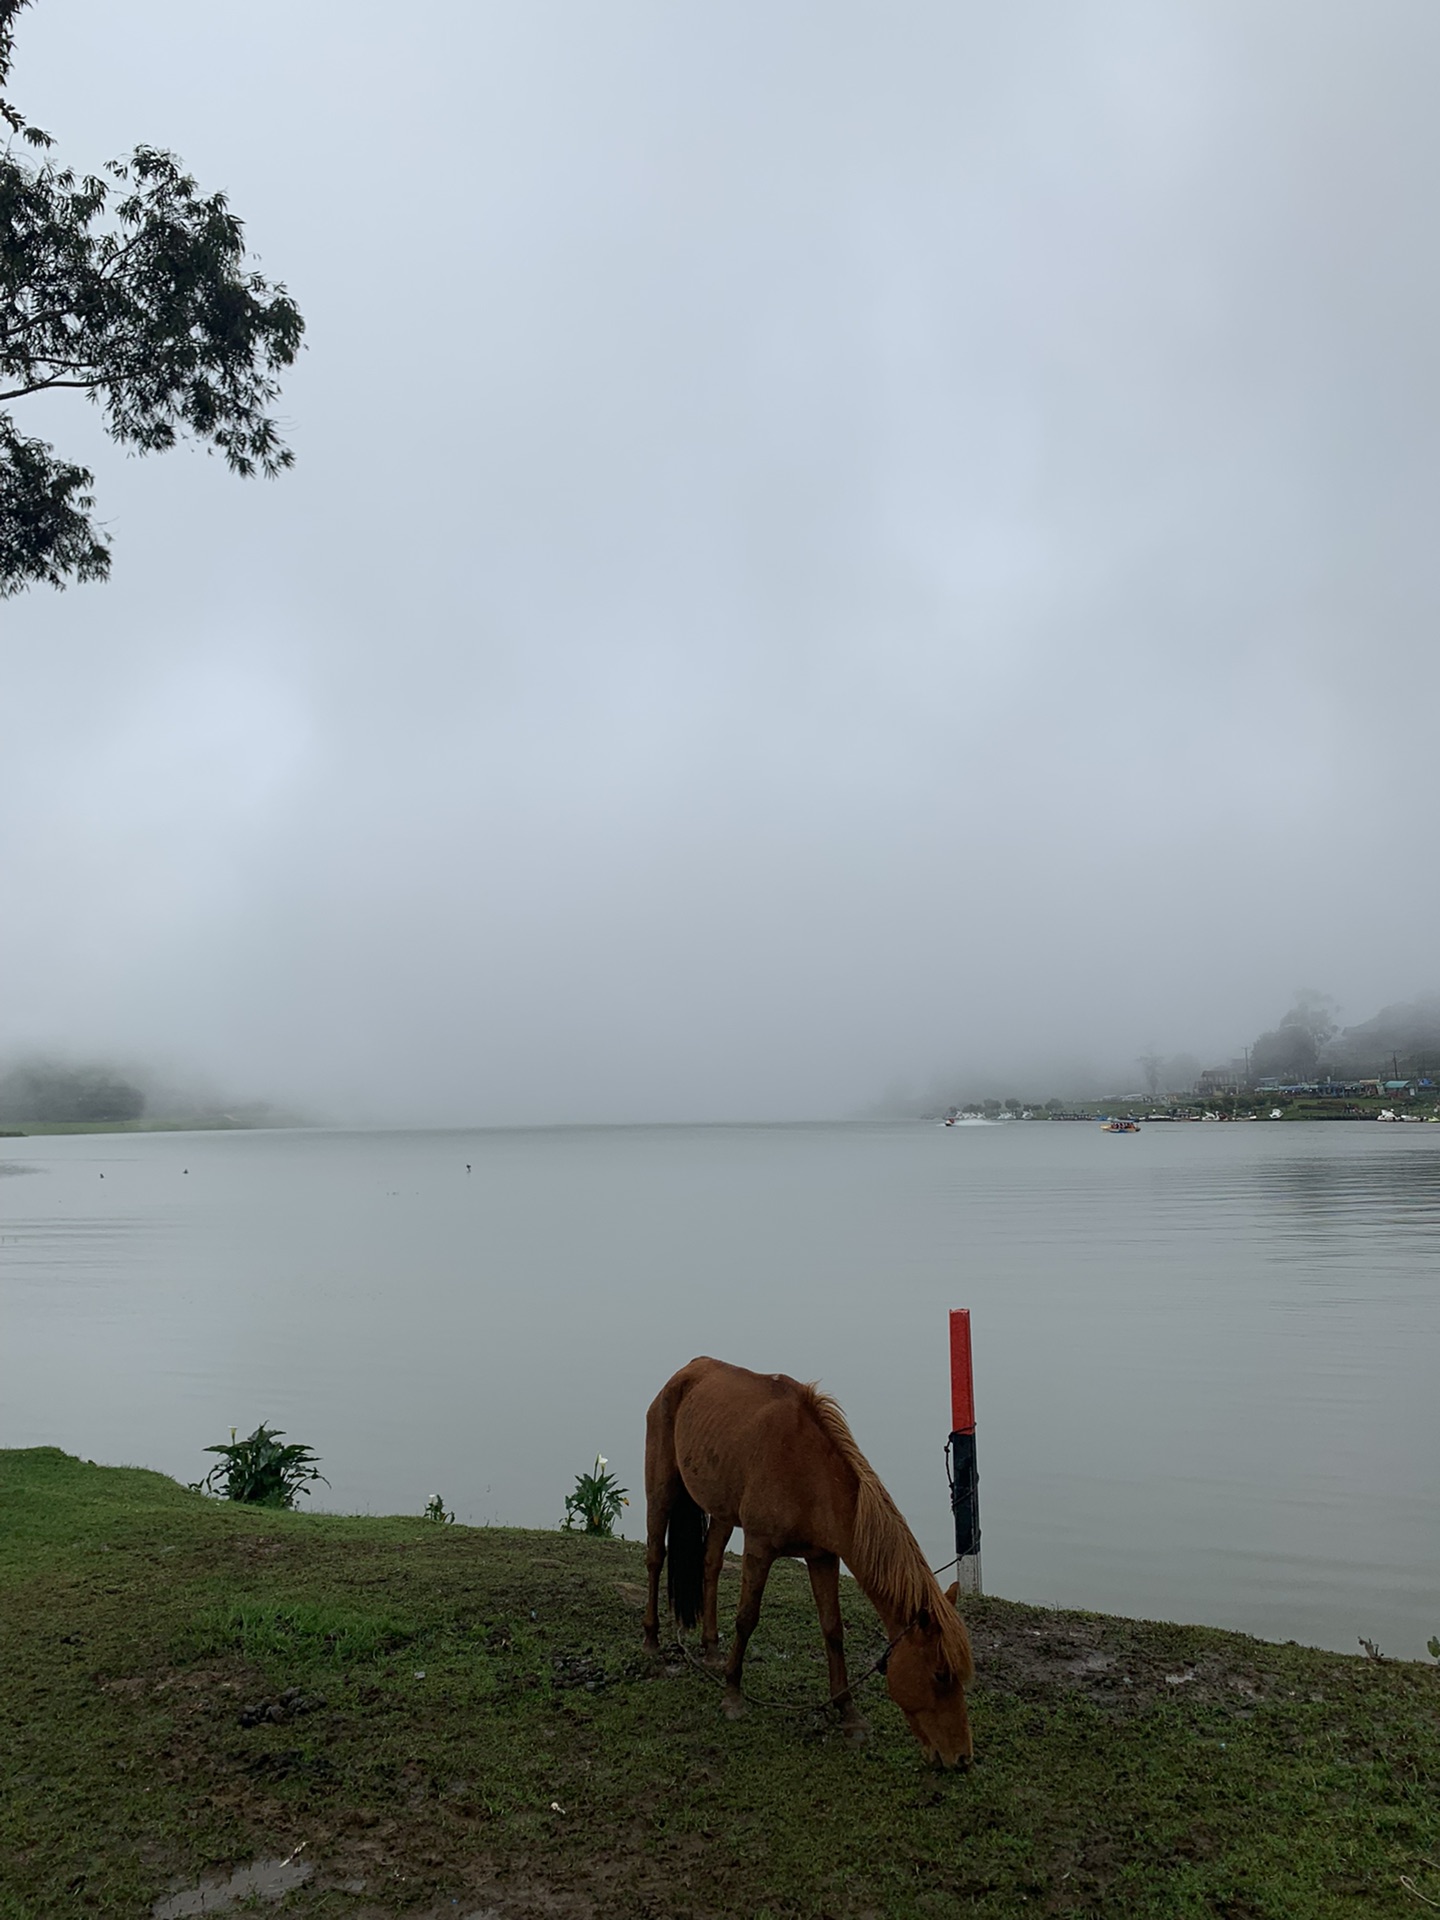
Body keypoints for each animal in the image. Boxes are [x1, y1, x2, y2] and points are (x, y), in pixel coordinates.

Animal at [645, 1359, 975, 1758]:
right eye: (940, 1674)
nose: (962, 1759)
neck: (809, 1474)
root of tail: (687, 1371)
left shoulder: (824, 1558)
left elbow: (832, 1630)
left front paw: (849, 1713)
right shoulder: (759, 1548)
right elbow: (746, 1619)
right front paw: (732, 1695)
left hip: (722, 1511)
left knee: (710, 1564)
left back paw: (710, 1649)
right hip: (661, 1488)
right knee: (655, 1557)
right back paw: (651, 1640)